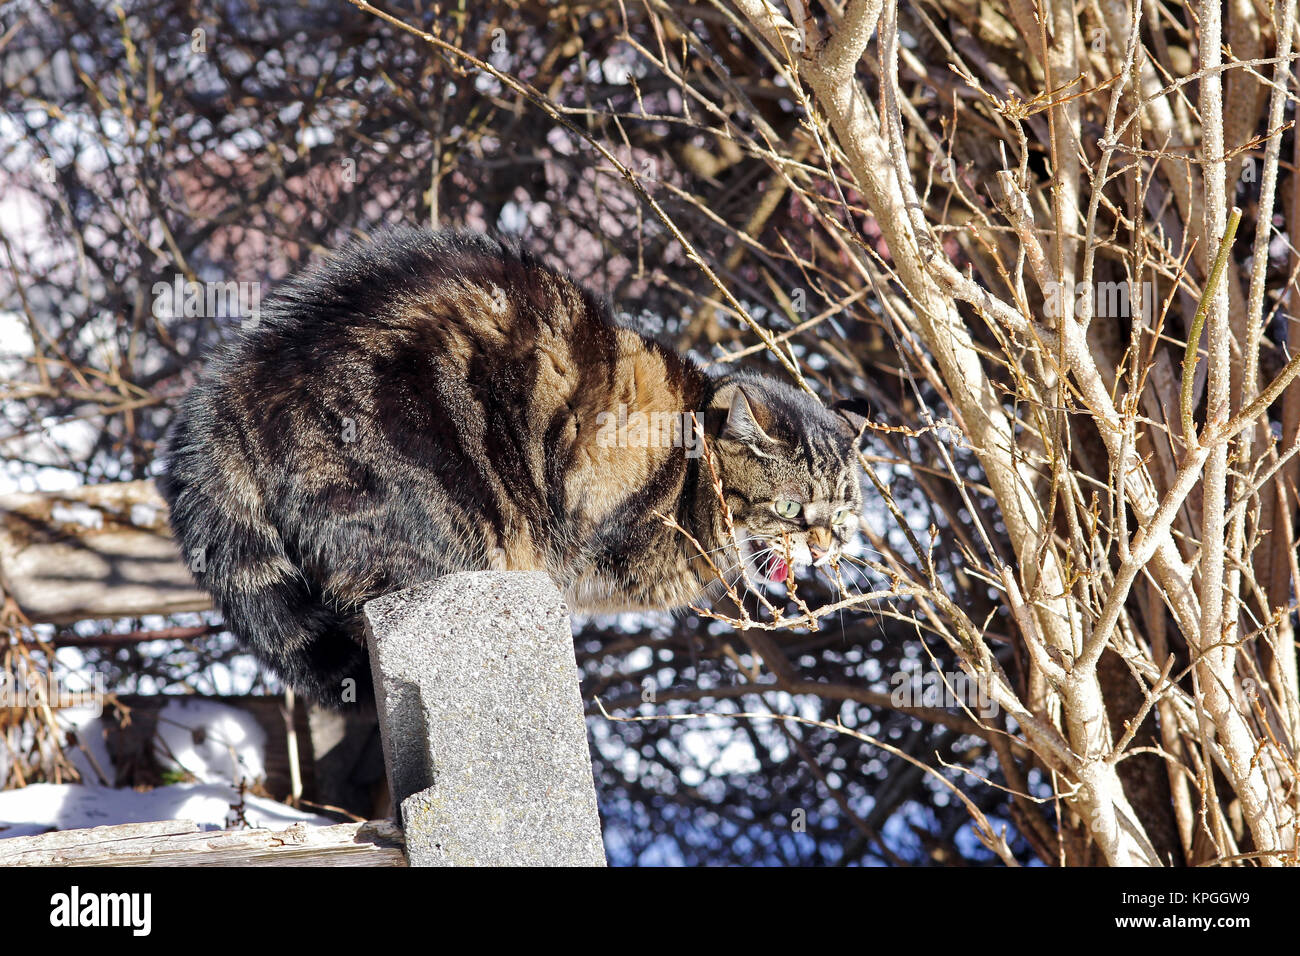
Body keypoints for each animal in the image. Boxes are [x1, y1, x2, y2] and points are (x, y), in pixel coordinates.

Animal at [159, 223, 863, 702]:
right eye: (793, 508)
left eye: (844, 517)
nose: (824, 546)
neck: (690, 471)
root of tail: (236, 379)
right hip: (435, 528)